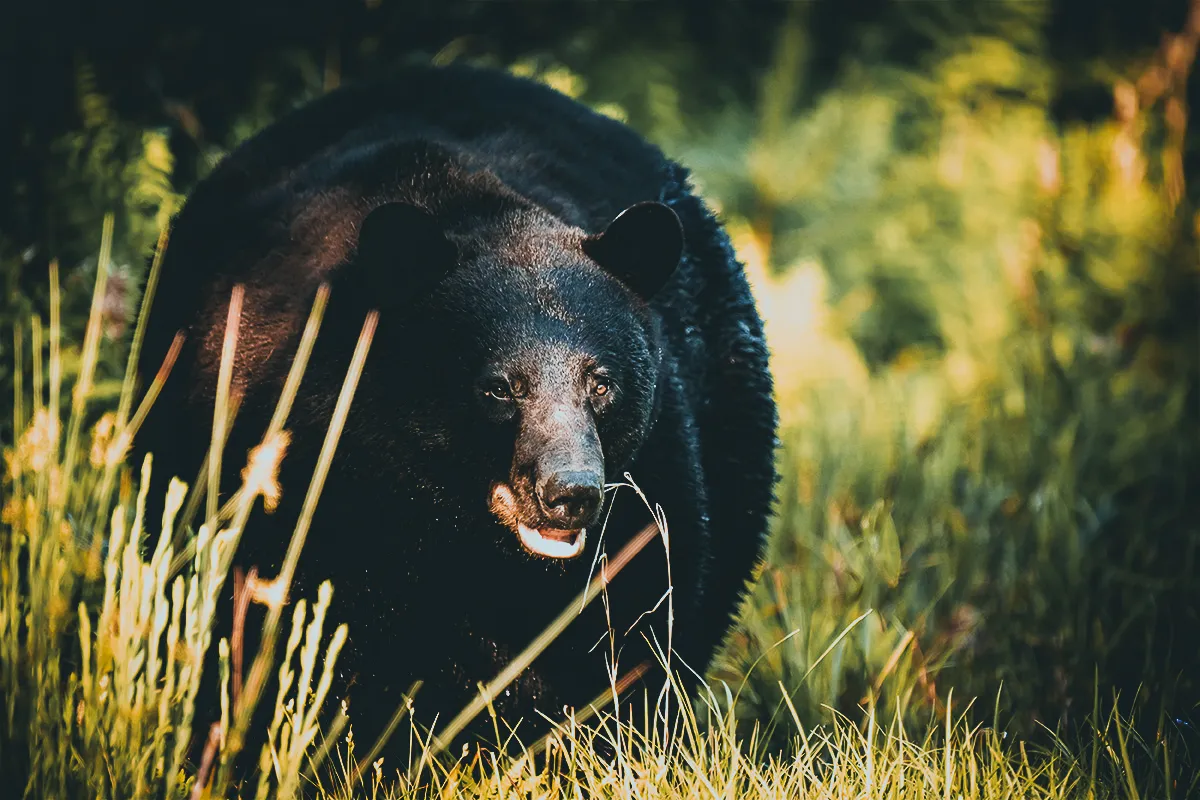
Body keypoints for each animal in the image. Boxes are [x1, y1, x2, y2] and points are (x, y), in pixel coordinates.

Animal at [132, 61, 778, 778]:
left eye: (601, 382)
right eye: (498, 387)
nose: (572, 492)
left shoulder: (652, 480)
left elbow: (642, 615)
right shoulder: (294, 463)